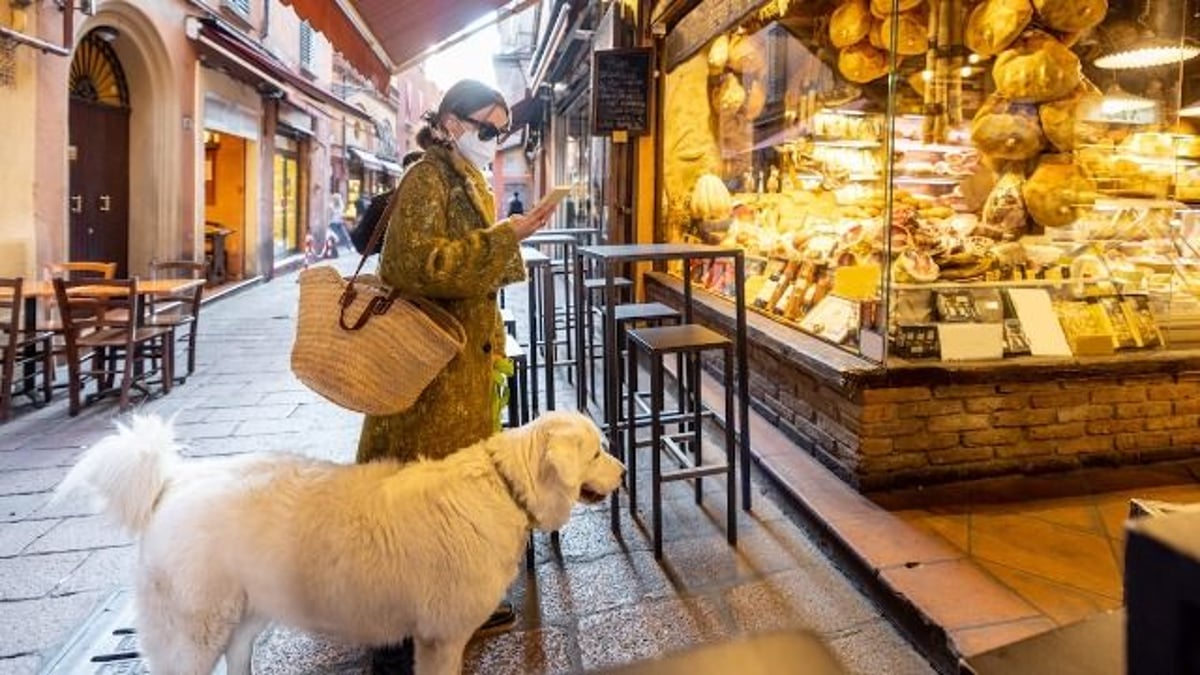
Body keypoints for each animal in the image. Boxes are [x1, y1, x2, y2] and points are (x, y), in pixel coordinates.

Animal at [56, 410, 624, 672]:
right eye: (597, 452)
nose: (623, 473)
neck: (506, 486)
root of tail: (170, 484)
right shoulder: (441, 638)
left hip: (245, 616)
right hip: (193, 632)